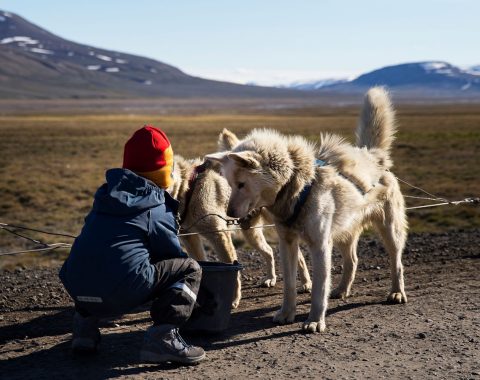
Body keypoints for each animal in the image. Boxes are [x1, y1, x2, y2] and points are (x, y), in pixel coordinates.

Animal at [206, 87, 408, 332]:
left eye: (241, 184)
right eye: (229, 184)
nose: (230, 214)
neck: (298, 185)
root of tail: (373, 155)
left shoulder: (320, 245)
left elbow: (319, 289)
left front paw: (314, 320)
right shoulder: (288, 243)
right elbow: (290, 285)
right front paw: (286, 313)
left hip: (390, 231)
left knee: (397, 262)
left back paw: (397, 292)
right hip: (344, 233)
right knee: (352, 261)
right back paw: (342, 290)